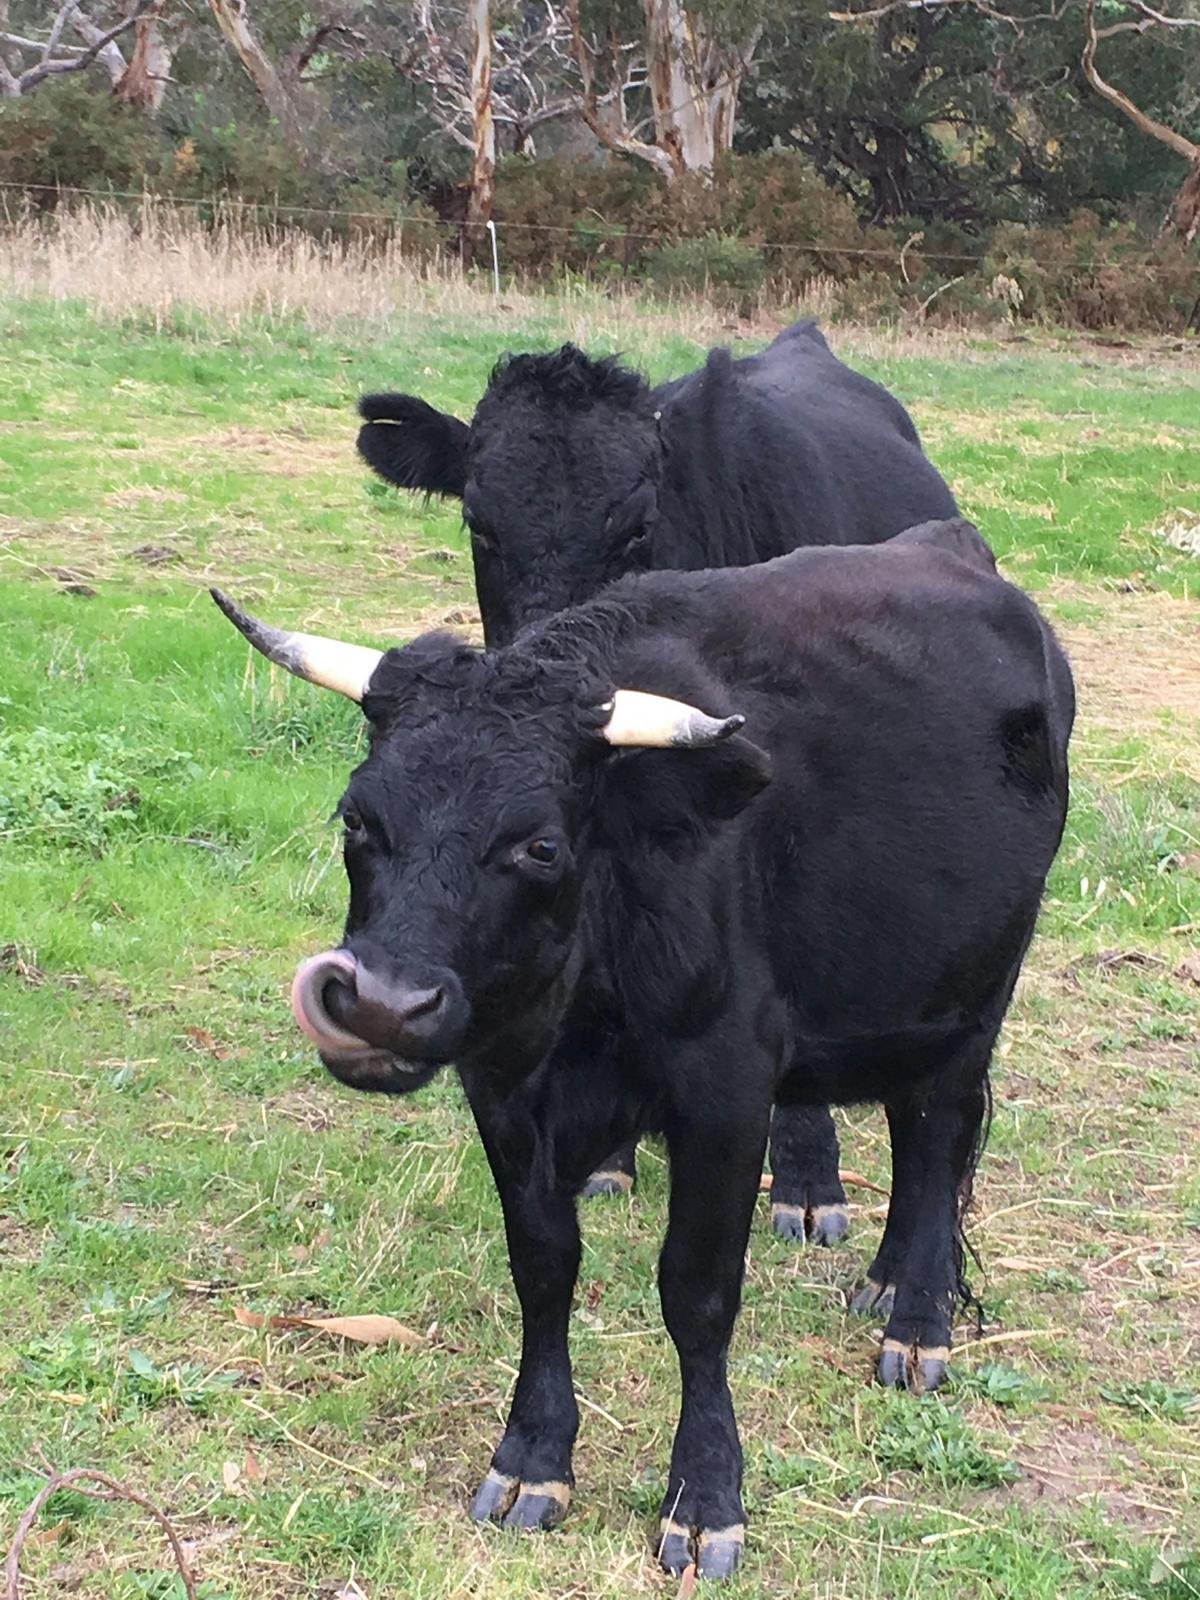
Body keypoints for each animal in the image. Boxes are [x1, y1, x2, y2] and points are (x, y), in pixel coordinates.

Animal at [210, 516, 1073, 1579]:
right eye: (357, 818)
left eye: (539, 844)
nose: (377, 1004)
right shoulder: (503, 1086)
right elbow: (543, 1267)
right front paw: (533, 1459)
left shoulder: (726, 1089)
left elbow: (697, 1294)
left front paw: (706, 1498)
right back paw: (882, 1287)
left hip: (975, 991)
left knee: (936, 1134)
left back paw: (918, 1320)